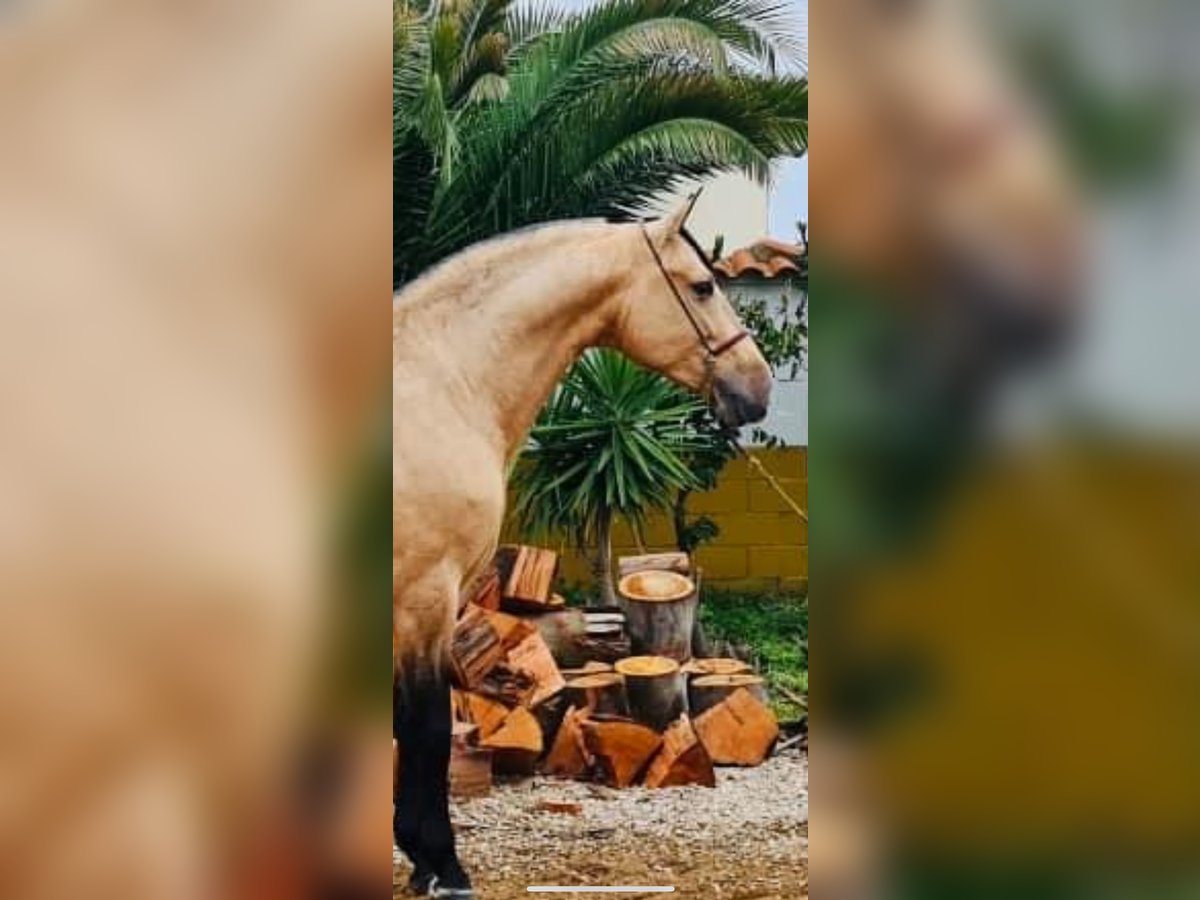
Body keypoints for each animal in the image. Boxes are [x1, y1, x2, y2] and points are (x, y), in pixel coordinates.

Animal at [388, 200, 772, 897]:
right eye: (703, 286)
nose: (757, 388)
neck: (443, 384)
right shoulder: (425, 595)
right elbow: (425, 729)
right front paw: (442, 865)